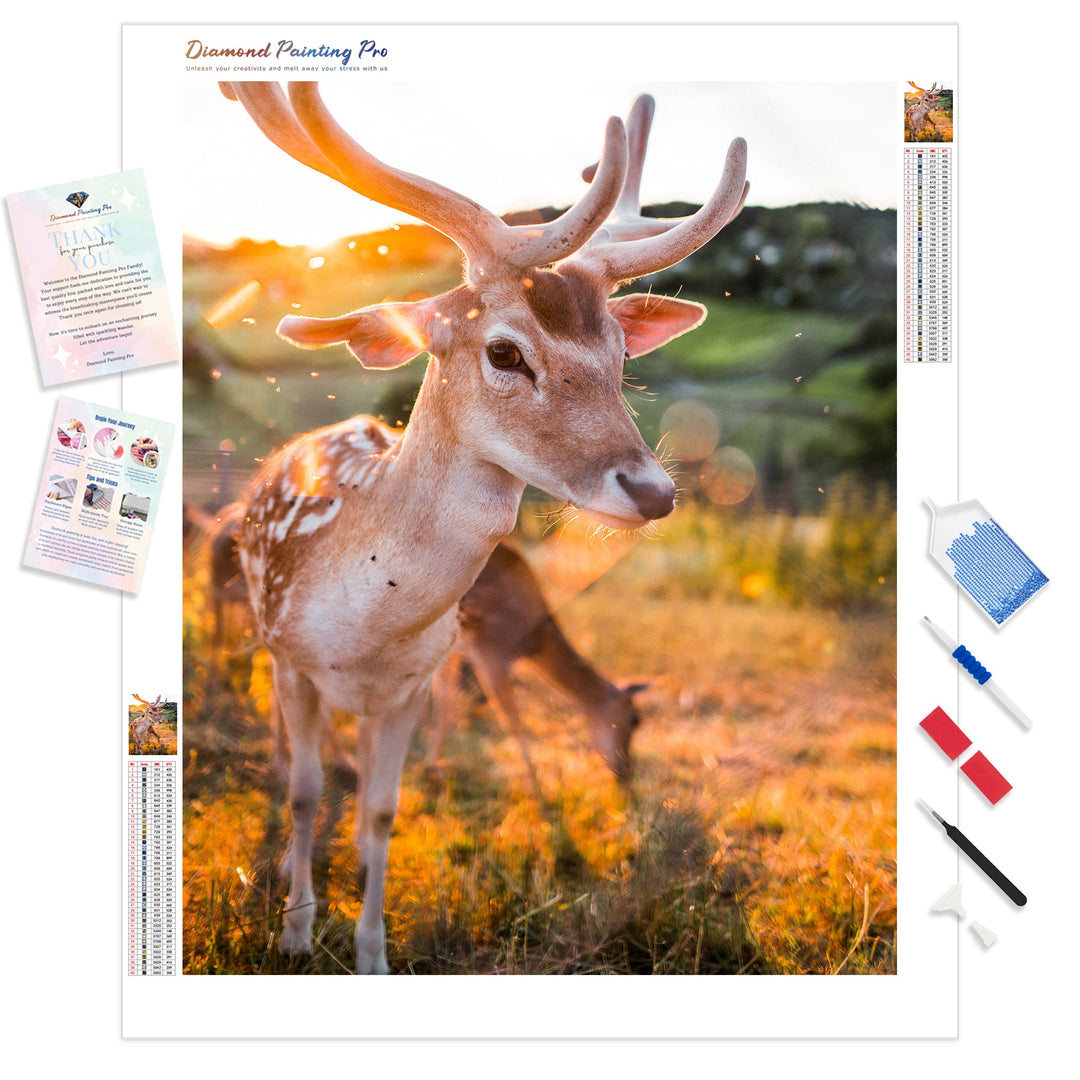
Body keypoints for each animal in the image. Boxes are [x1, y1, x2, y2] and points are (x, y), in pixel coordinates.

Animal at [427, 540, 648, 791]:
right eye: (636, 719)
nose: (625, 773)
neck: (534, 639)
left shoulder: (455, 651)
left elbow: (444, 701)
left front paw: (434, 772)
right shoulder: (491, 652)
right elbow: (513, 721)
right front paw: (537, 790)